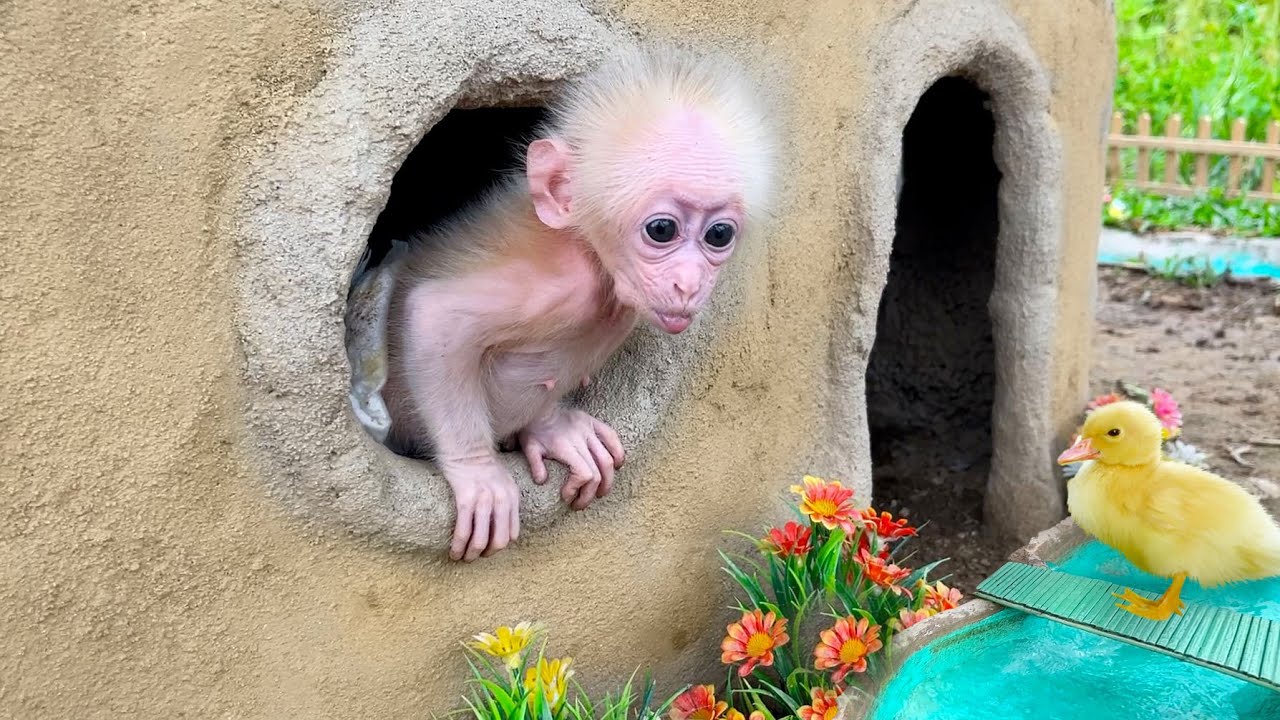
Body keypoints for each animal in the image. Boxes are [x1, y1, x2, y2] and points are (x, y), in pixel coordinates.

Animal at [381, 44, 776, 562]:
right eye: (662, 229)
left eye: (719, 235)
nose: (690, 284)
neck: (596, 259)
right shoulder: (560, 284)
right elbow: (434, 314)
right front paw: (478, 473)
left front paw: (552, 429)